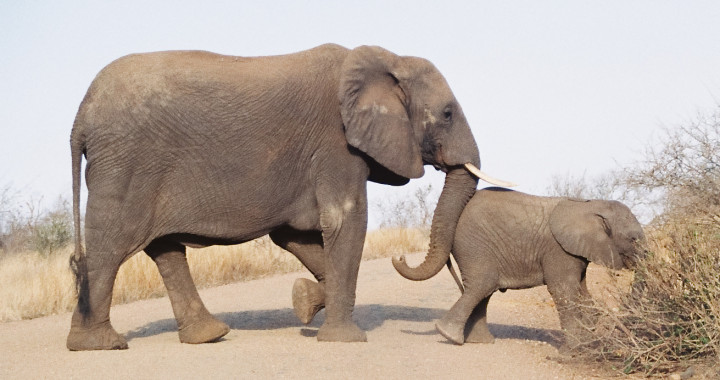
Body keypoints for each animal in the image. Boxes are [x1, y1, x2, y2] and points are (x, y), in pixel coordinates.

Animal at [67, 43, 506, 350]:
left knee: (165, 249)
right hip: (126, 164)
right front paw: (344, 339)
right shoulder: (336, 145)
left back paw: (207, 336)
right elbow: (346, 220)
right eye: (447, 114)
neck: (387, 59)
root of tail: (80, 117)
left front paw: (305, 301)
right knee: (112, 246)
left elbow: (295, 235)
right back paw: (101, 345)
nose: (400, 257)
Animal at [394, 188, 648, 348]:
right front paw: (575, 350)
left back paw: (478, 342)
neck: (590, 203)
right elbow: (563, 290)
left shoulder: (575, 252)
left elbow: (582, 291)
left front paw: (590, 339)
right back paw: (448, 335)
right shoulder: (558, 250)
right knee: (482, 285)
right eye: (633, 239)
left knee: (482, 290)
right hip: (473, 244)